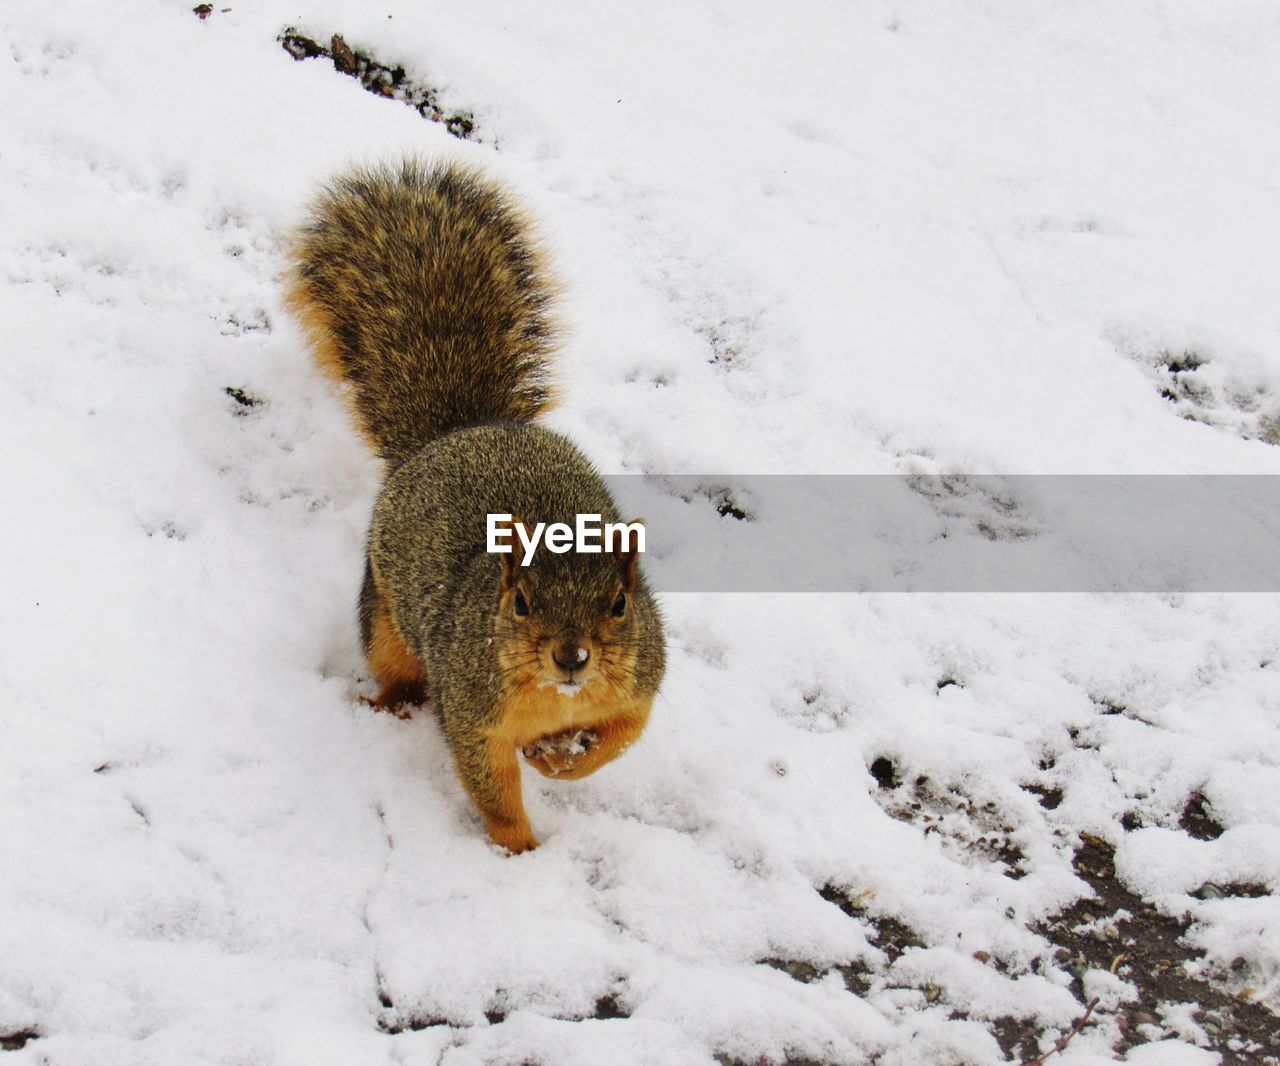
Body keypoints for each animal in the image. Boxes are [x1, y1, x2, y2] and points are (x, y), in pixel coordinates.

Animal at [284, 158, 665, 854]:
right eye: (521, 602)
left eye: (620, 603)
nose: (572, 657)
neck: (557, 698)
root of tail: (459, 429)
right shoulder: (471, 713)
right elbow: (492, 787)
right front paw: (519, 852)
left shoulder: (640, 678)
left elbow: (620, 739)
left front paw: (562, 764)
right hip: (383, 620)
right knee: (396, 669)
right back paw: (388, 703)